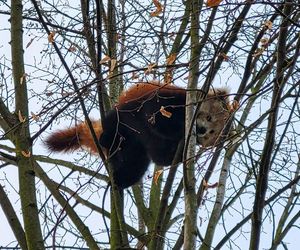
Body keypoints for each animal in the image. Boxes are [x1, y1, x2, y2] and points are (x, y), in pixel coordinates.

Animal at [45, 83, 231, 188]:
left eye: (211, 133)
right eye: (209, 117)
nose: (202, 130)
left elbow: (160, 156)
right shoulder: (170, 99)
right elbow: (157, 116)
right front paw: (181, 132)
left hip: (136, 150)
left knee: (136, 166)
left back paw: (121, 180)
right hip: (123, 116)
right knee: (114, 124)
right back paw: (107, 138)